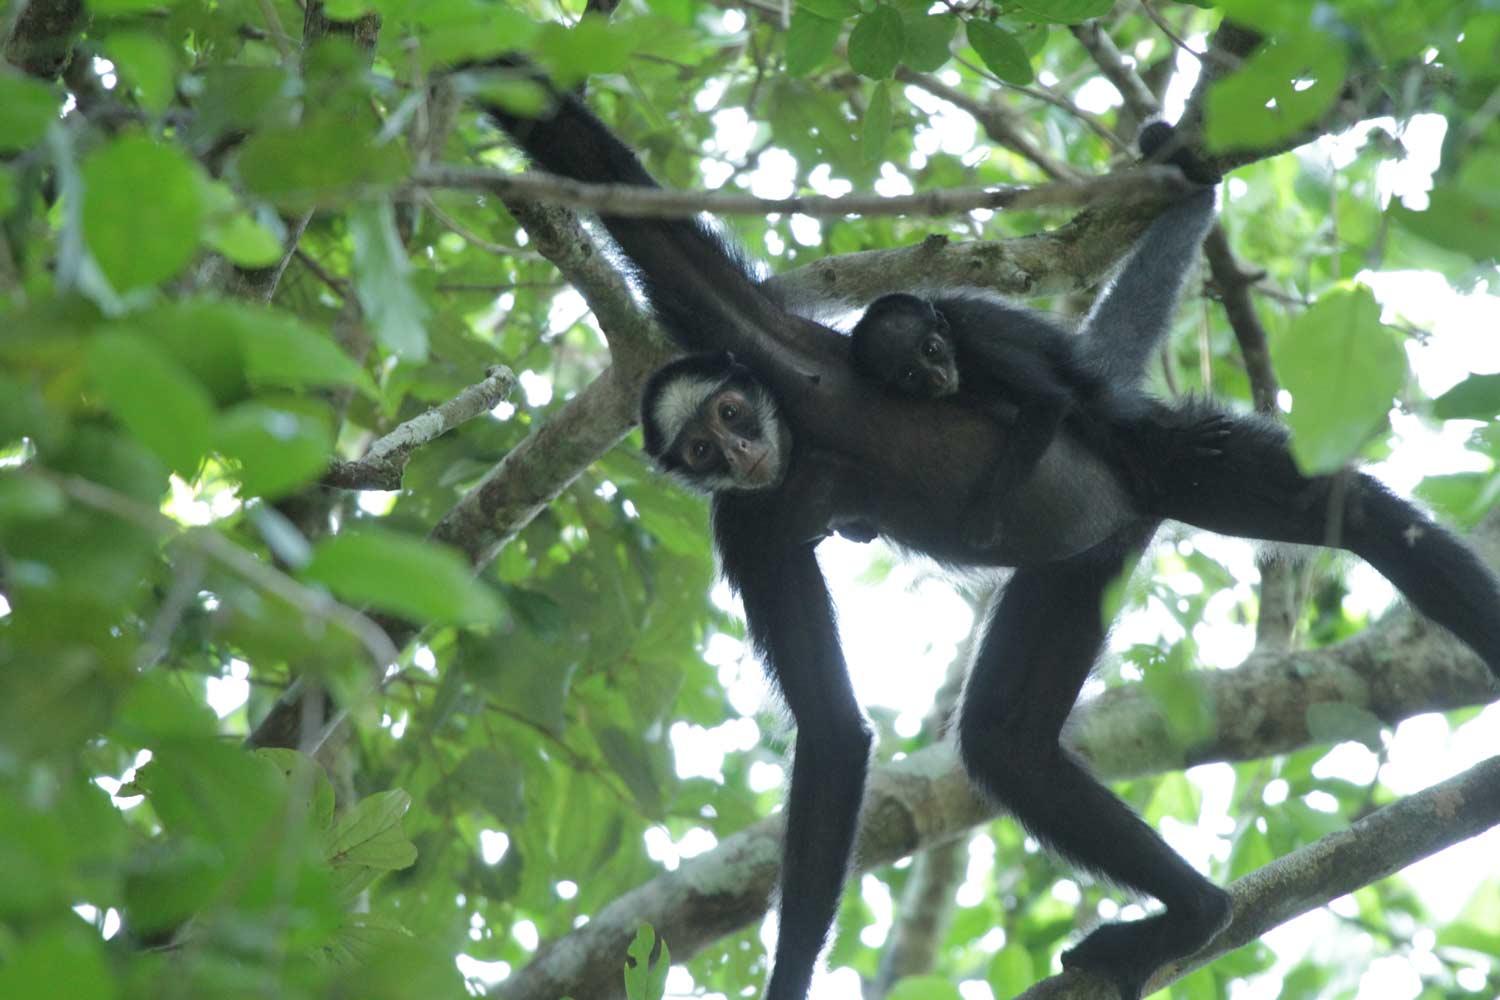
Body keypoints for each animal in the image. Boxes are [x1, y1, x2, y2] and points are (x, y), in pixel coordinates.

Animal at [480, 74, 1500, 995]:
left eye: (732, 412)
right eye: (699, 446)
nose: (739, 449)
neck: (803, 450)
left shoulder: (764, 337)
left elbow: (597, 168)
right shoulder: (751, 526)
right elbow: (832, 729)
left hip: (1160, 454)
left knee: (1365, 520)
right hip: (1085, 563)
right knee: (1004, 744)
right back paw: (1193, 916)